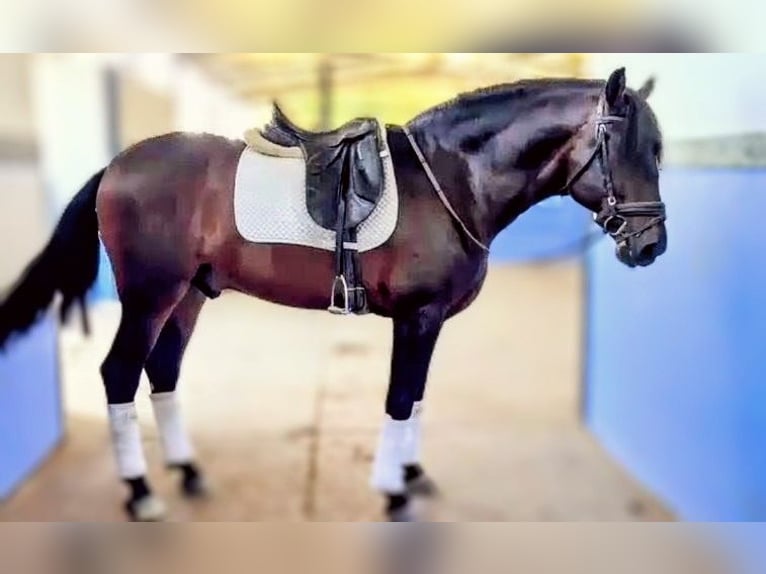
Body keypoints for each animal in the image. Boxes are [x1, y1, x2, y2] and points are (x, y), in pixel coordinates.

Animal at [0, 67, 666, 521]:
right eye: (625, 147)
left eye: (659, 150)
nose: (650, 246)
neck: (452, 179)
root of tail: (115, 167)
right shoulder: (417, 318)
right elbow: (400, 401)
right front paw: (394, 494)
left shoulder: (430, 323)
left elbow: (417, 400)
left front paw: (411, 476)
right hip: (149, 297)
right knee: (119, 373)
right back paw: (140, 493)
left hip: (187, 296)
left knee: (162, 371)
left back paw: (187, 473)